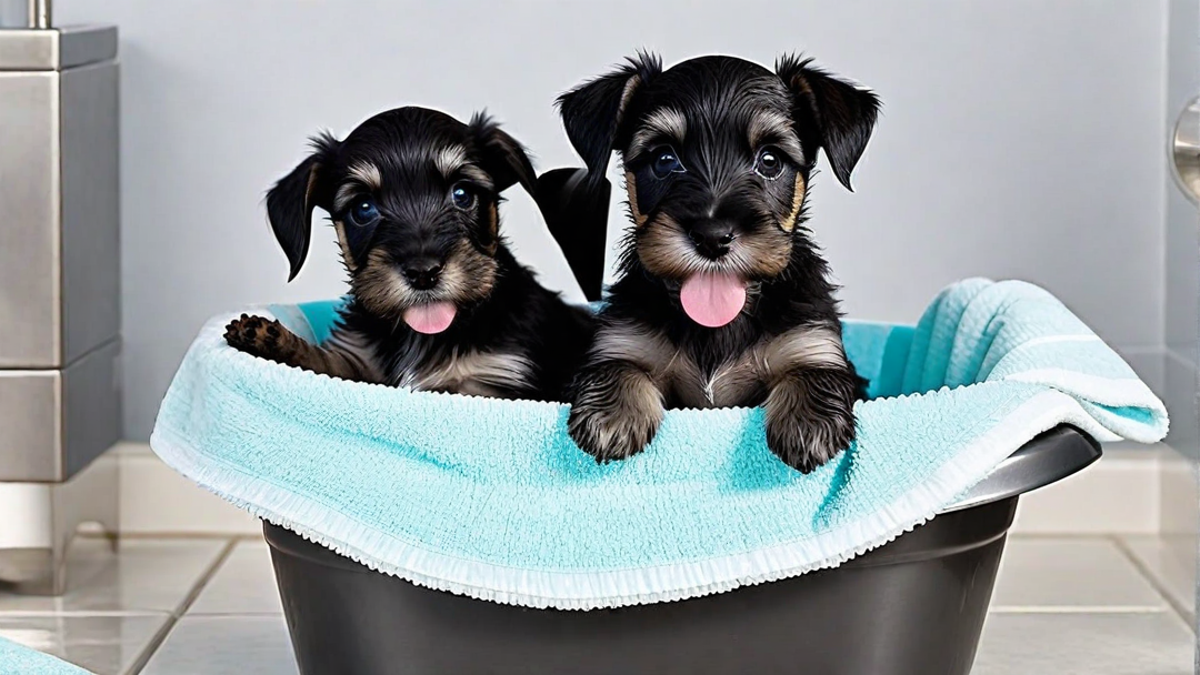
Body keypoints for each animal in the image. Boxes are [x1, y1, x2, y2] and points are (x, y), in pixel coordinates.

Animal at [223, 105, 592, 398]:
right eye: (363, 209)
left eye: (462, 194)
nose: (423, 272)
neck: (422, 335)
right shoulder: (357, 361)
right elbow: (324, 364)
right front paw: (269, 339)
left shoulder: (490, 382)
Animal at [556, 52, 878, 470]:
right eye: (663, 160)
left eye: (770, 160)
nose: (712, 236)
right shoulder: (624, 341)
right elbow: (618, 365)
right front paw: (613, 417)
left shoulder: (812, 343)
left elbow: (813, 371)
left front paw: (808, 424)